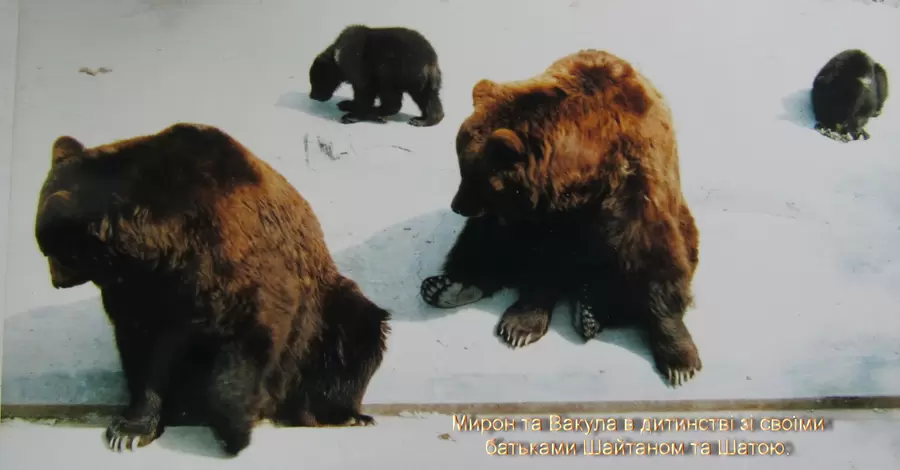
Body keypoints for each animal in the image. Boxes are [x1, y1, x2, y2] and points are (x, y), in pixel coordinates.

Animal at [33, 122, 392, 456]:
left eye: (54, 252)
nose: (55, 280)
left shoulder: (232, 259)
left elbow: (250, 332)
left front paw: (235, 429)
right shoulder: (145, 289)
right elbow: (144, 350)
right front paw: (130, 430)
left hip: (324, 317)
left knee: (357, 333)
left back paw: (340, 414)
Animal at [310, 23, 446, 126]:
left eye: (316, 81)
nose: (313, 96)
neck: (337, 58)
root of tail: (431, 60)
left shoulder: (358, 65)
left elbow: (364, 91)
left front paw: (351, 115)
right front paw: (347, 103)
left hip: (393, 70)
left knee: (391, 95)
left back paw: (378, 113)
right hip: (420, 80)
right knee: (427, 96)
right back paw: (425, 119)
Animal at [420, 49, 704, 388]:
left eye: (475, 177)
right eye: (462, 168)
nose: (457, 206)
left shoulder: (636, 180)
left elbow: (650, 253)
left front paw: (679, 359)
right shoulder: (542, 211)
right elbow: (539, 257)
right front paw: (520, 323)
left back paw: (591, 310)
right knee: (485, 240)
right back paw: (447, 287)